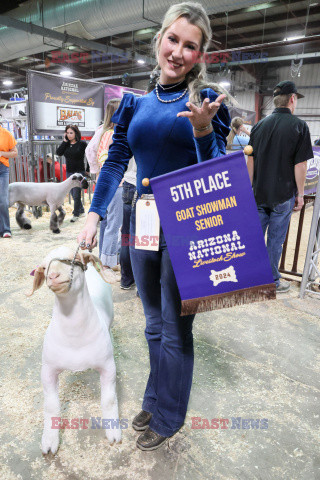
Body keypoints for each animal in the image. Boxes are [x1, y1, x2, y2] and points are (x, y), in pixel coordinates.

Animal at [28, 246, 120, 456]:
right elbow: (51, 406)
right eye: (44, 267)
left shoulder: (108, 367)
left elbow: (109, 400)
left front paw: (113, 432)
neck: (75, 339)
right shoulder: (47, 370)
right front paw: (49, 441)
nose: (53, 276)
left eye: (73, 258)